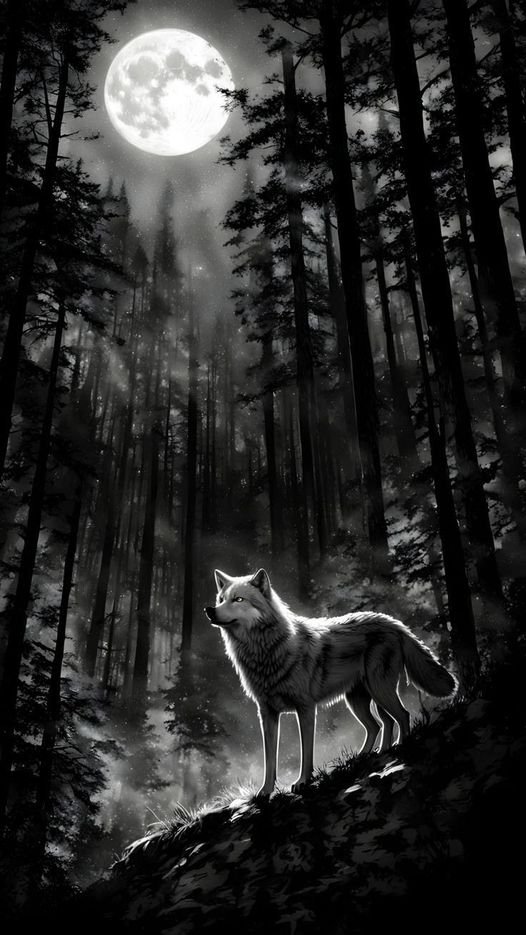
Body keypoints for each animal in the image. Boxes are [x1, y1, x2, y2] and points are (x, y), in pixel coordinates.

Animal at [205, 568, 457, 796]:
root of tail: (394, 622)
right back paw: (370, 755)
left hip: (379, 690)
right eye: (221, 599)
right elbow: (270, 759)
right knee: (380, 724)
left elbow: (306, 751)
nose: (209, 610)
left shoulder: (306, 709)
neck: (265, 651)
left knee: (401, 716)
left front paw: (302, 782)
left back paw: (398, 750)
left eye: (238, 599)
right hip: (361, 700)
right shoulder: (267, 713)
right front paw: (265, 792)